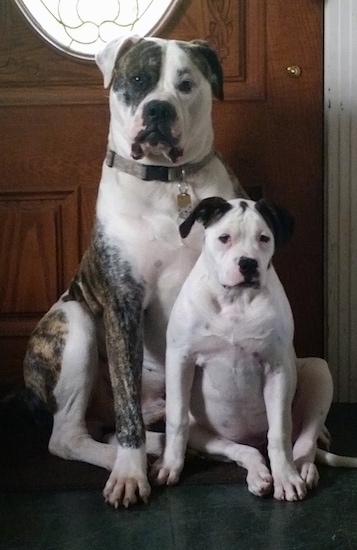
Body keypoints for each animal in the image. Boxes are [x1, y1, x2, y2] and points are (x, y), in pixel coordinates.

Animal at [152, 199, 356, 504]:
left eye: (264, 238)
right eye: (224, 238)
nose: (247, 263)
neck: (235, 300)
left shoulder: (277, 369)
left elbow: (279, 432)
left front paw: (286, 478)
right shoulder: (180, 359)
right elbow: (177, 420)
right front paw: (169, 465)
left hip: (318, 371)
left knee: (302, 440)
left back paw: (301, 470)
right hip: (204, 431)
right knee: (242, 451)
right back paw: (258, 474)